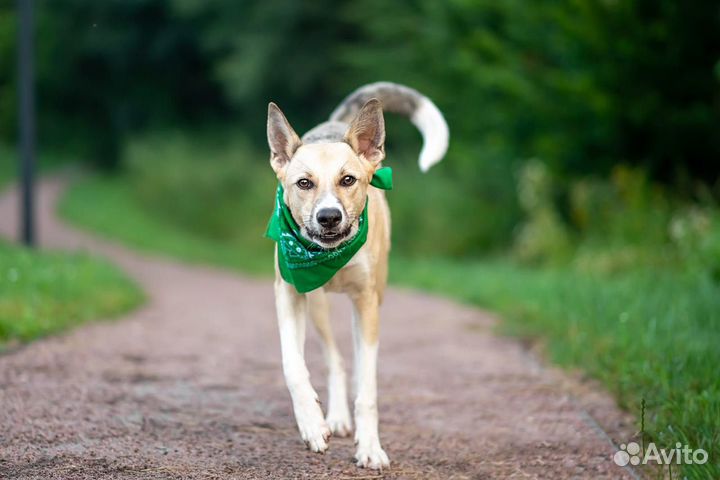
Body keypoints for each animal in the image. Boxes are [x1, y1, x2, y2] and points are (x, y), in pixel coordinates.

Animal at [268, 81, 448, 468]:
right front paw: (311, 424)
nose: (329, 217)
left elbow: (368, 390)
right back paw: (332, 418)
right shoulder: (288, 292)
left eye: (348, 179)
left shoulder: (367, 304)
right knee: (334, 360)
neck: (329, 253)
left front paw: (370, 448)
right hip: (317, 304)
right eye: (304, 183)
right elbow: (292, 364)